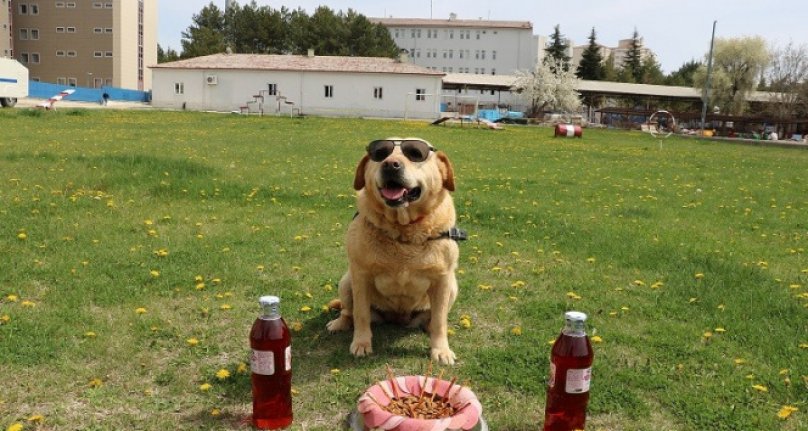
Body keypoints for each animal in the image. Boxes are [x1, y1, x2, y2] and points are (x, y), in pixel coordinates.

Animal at [326, 138, 464, 364]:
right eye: (380, 153)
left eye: (416, 153)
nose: (391, 165)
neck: (403, 229)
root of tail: (398, 318)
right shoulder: (360, 275)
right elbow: (361, 313)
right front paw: (361, 343)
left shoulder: (443, 279)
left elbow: (440, 320)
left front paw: (441, 349)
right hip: (346, 282)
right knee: (348, 311)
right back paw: (340, 323)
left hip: (452, 286)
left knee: (434, 317)